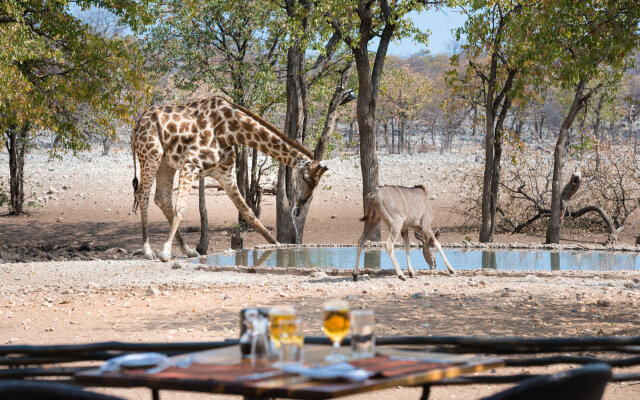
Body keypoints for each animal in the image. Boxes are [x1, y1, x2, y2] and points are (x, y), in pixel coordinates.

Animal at [131, 95, 330, 260]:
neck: (231, 132)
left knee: (161, 198)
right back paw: (148, 251)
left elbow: (248, 212)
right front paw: (165, 252)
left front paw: (277, 245)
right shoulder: (190, 164)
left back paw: (188, 250)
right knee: (143, 195)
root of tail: (137, 124)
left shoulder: (225, 174)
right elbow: (180, 207)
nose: (301, 203)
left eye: (317, 183)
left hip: (166, 164)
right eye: (306, 178)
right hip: (151, 155)